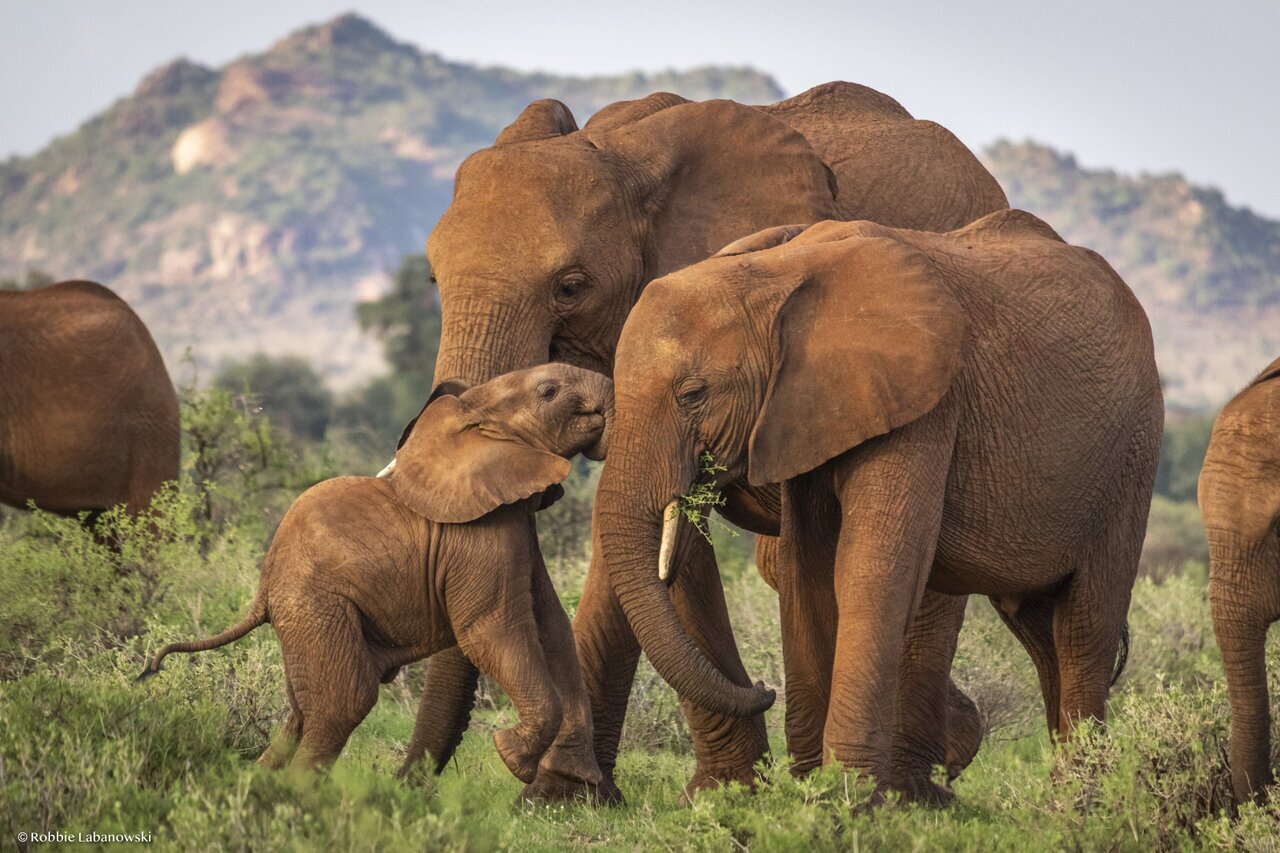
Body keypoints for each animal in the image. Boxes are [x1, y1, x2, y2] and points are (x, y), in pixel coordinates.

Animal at [142, 361, 611, 788]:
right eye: (549, 391)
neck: (473, 415)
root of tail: (262, 589)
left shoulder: (515, 526)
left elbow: (551, 626)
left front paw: (562, 771)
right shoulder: (480, 535)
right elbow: (491, 631)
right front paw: (511, 756)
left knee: (302, 711)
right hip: (317, 605)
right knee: (346, 700)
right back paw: (297, 796)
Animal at [412, 81, 1008, 799]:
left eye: (571, 286)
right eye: (433, 281)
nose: (764, 687)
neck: (623, 155)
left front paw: (564, 789)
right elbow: (661, 536)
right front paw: (580, 795)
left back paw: (924, 782)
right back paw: (959, 739)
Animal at [593, 211, 1167, 799]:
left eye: (693, 394)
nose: (763, 687)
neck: (774, 274)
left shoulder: (926, 402)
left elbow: (872, 567)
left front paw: (845, 796)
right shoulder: (801, 411)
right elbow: (805, 573)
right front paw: (809, 789)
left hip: (1133, 453)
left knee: (1085, 623)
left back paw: (1082, 798)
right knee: (1039, 629)